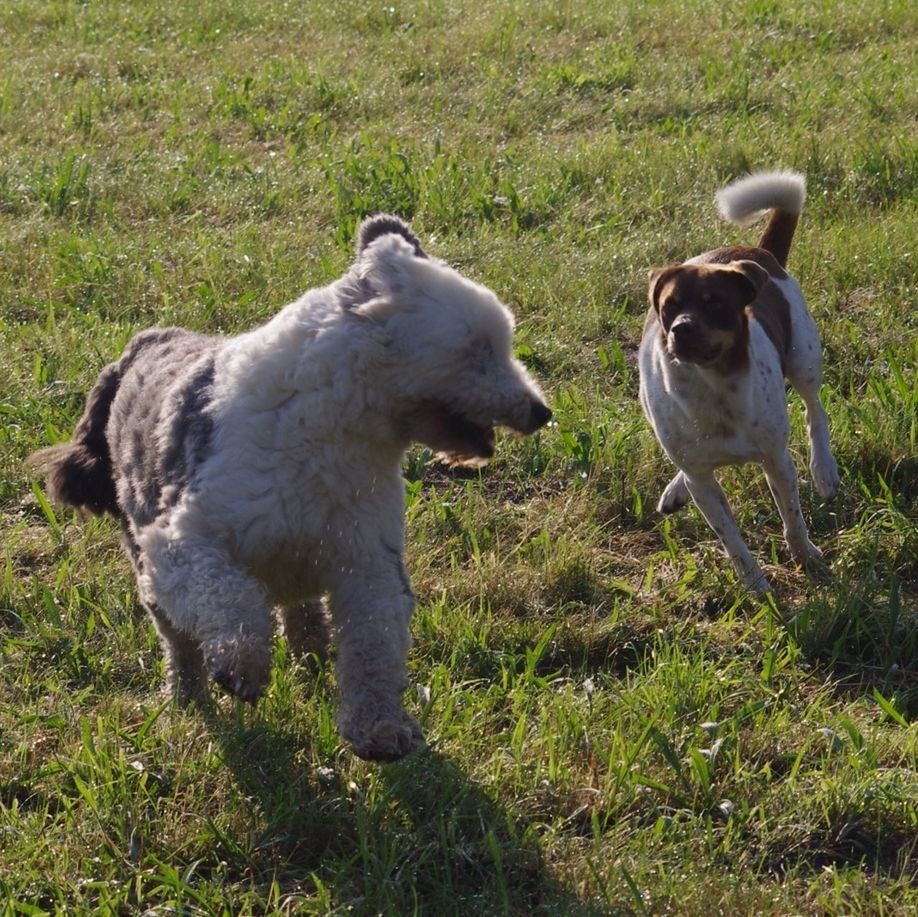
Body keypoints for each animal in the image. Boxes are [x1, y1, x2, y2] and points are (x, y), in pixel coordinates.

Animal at [34, 218, 552, 764]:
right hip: (148, 565)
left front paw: (380, 728)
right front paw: (242, 665)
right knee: (179, 639)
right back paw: (188, 695)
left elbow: (374, 646)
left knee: (299, 609)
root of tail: (144, 343)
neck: (326, 433)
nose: (541, 411)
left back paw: (310, 653)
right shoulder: (180, 543)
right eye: (479, 349)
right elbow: (227, 595)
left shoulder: (368, 559)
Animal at [640, 172, 840, 592]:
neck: (715, 387)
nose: (681, 329)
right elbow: (731, 540)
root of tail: (756, 251)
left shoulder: (777, 460)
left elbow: (792, 517)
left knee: (816, 411)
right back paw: (675, 489)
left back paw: (824, 469)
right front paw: (756, 586)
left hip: (804, 359)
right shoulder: (703, 483)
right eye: (669, 307)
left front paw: (806, 557)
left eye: (715, 303)